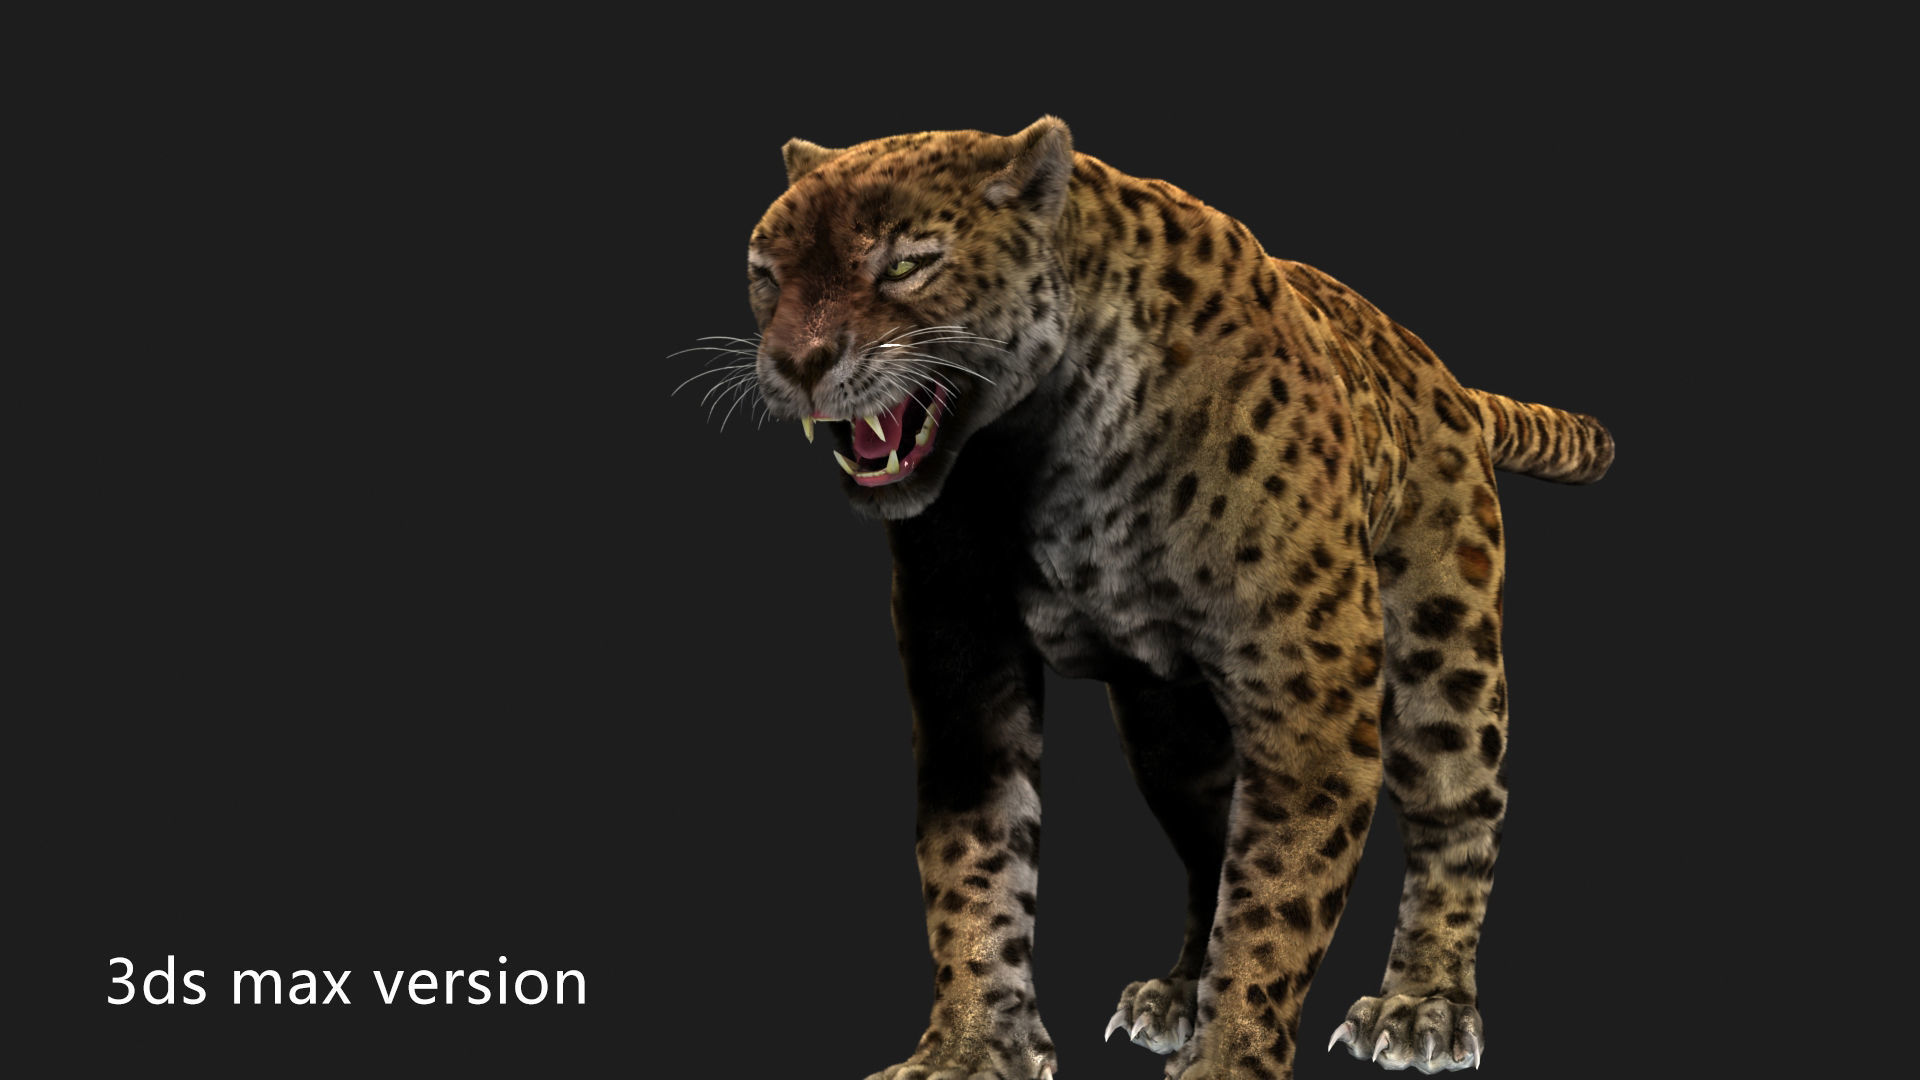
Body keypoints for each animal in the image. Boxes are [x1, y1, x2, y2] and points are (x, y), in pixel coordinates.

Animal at [708, 116, 1613, 1080]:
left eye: (909, 264)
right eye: (767, 275)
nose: (800, 362)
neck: (1043, 452)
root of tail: (1436, 370)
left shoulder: (1312, 698)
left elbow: (1278, 895)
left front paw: (1230, 1058)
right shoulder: (963, 663)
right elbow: (974, 861)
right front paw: (970, 1047)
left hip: (1444, 660)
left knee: (1457, 816)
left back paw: (1423, 1006)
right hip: (1167, 730)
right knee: (1211, 843)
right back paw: (1178, 991)